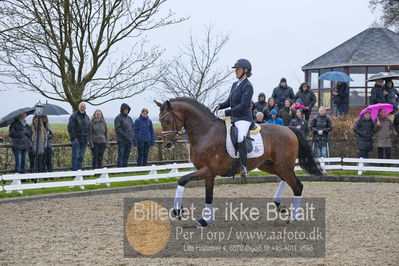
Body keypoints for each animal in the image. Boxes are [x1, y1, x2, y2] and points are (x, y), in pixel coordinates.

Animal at [155, 98, 324, 228]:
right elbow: (208, 196)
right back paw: (279, 205)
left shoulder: (207, 170)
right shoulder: (209, 175)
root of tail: (289, 129)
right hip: (270, 165)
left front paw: (178, 210)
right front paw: (205, 221)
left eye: (168, 120)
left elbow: (182, 180)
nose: (167, 144)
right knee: (286, 180)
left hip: (282, 165)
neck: (205, 132)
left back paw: (294, 217)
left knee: (297, 186)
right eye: (160, 120)